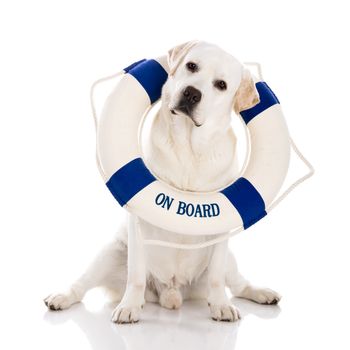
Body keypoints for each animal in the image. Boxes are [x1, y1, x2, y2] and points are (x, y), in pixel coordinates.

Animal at [44, 42, 282, 324]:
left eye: (221, 85)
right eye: (192, 66)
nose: (191, 93)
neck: (190, 147)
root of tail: (171, 290)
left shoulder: (222, 233)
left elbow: (216, 277)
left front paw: (221, 306)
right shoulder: (138, 221)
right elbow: (135, 275)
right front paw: (129, 307)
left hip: (229, 264)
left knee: (238, 284)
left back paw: (262, 293)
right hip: (110, 254)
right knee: (82, 285)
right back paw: (62, 297)